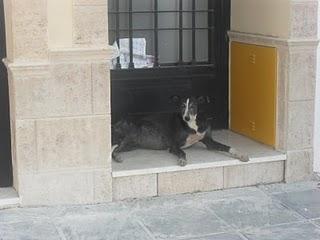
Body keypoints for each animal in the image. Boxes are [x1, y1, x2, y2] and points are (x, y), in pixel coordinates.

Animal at [112, 96, 250, 166]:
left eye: (193, 106)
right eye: (182, 106)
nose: (186, 117)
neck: (193, 124)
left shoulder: (209, 141)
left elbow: (227, 147)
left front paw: (241, 155)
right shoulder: (174, 145)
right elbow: (182, 152)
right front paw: (182, 159)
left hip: (131, 144)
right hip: (127, 134)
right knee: (113, 150)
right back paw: (116, 156)